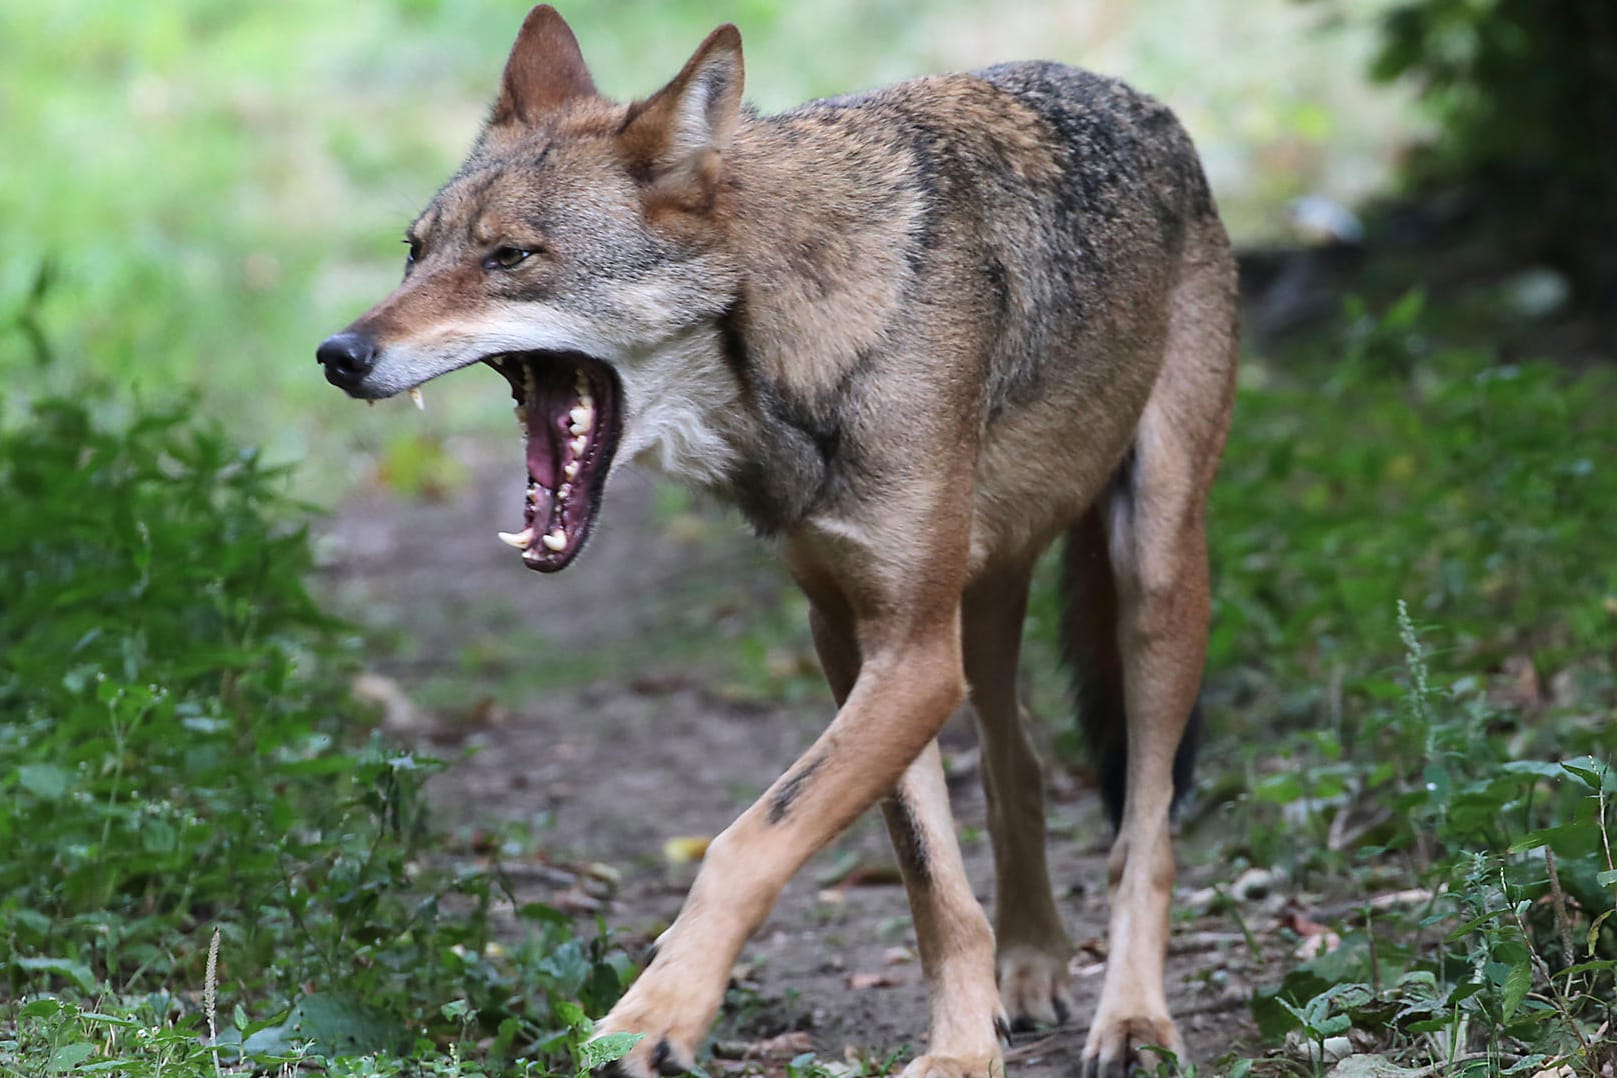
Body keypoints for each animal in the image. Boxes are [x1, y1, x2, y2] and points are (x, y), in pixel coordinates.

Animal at [321, 6, 1241, 1073]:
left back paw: (1132, 1019)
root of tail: (1140, 103)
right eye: (414, 251)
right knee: (1017, 771)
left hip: (1154, 579)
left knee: (1144, 829)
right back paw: (1033, 966)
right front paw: (962, 1047)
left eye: (510, 257)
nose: (338, 354)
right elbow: (930, 879)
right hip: (983, 610)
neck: (790, 349)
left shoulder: (911, 658)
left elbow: (748, 842)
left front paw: (656, 1013)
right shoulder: (854, 637)